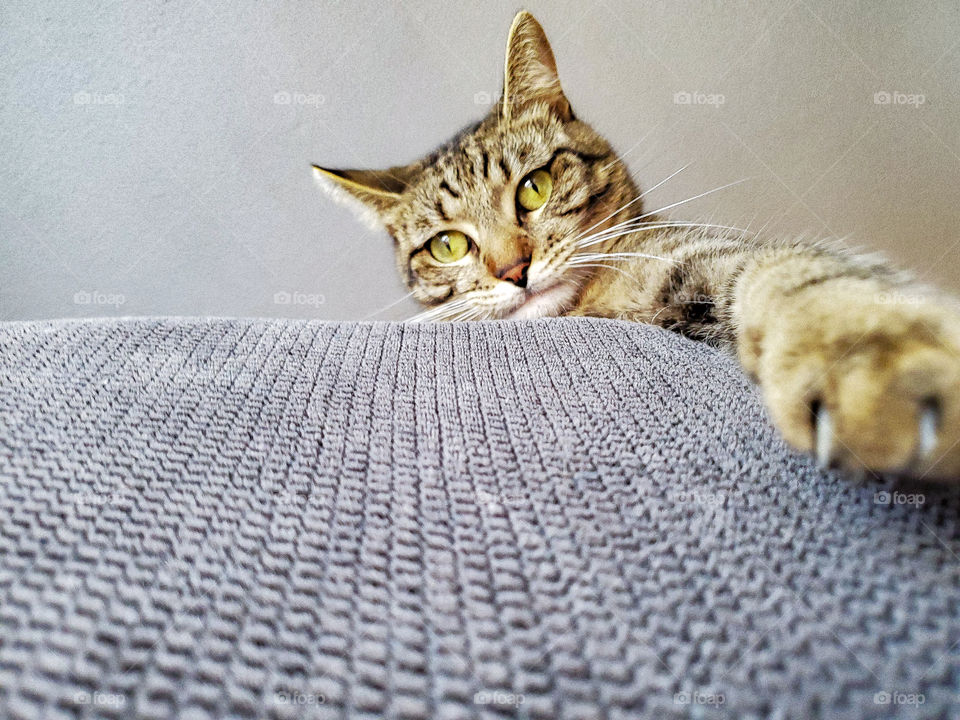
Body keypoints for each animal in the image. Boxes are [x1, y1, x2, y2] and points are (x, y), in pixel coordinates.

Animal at [316, 11, 960, 480]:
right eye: (448, 245)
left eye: (534, 187)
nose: (514, 269)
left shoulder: (710, 255)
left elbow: (804, 281)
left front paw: (874, 368)